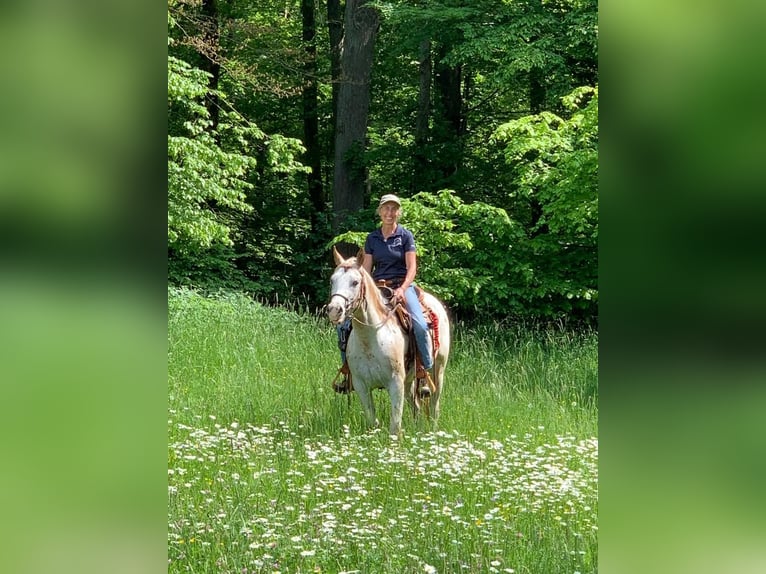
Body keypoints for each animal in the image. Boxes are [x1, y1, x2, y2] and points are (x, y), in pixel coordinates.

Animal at [326, 245, 450, 438]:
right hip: (409, 381)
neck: (371, 338)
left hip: (438, 371)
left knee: (434, 407)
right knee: (416, 406)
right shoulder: (361, 385)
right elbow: (372, 422)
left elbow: (395, 426)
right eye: (332, 280)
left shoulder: (395, 383)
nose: (334, 310)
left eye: (355, 282)